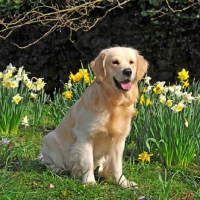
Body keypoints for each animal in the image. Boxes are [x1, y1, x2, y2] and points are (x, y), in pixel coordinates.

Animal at [40, 47, 148, 188]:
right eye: (115, 62)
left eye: (131, 62)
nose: (128, 71)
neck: (113, 103)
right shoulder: (85, 137)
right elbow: (88, 162)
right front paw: (89, 181)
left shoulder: (119, 140)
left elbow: (117, 166)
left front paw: (123, 183)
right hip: (50, 139)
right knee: (48, 162)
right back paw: (58, 169)